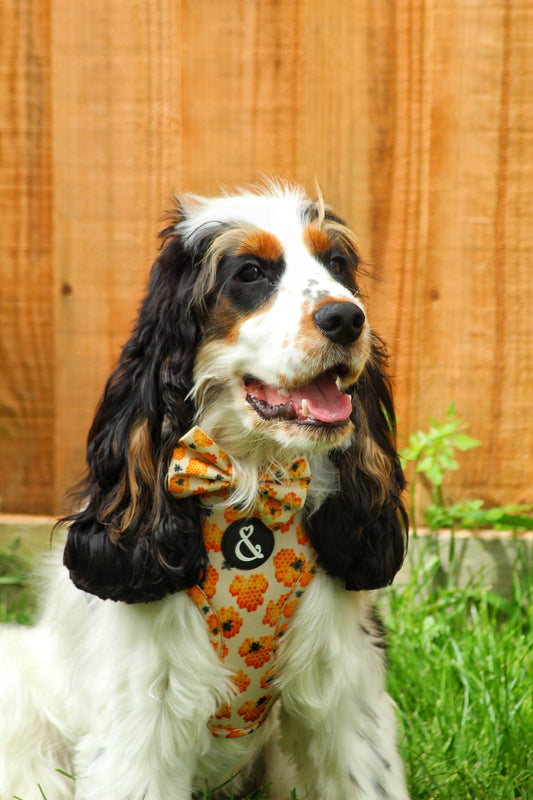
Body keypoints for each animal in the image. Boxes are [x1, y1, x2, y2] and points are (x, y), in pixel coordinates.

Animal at [0, 183, 410, 800]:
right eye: (250, 272)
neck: (253, 487)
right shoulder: (142, 715)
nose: (347, 317)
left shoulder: (346, 690)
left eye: (337, 264)